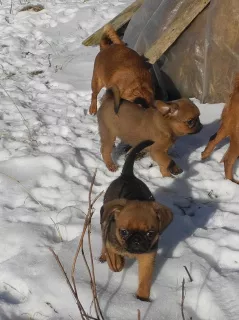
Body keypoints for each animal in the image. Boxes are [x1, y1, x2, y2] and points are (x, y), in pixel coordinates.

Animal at [100, 140, 173, 300]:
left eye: (150, 233)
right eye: (124, 232)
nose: (137, 240)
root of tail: (127, 176)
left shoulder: (148, 257)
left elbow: (145, 279)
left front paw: (142, 299)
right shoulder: (112, 241)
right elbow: (113, 257)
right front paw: (117, 263)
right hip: (104, 221)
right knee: (103, 239)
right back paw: (103, 256)